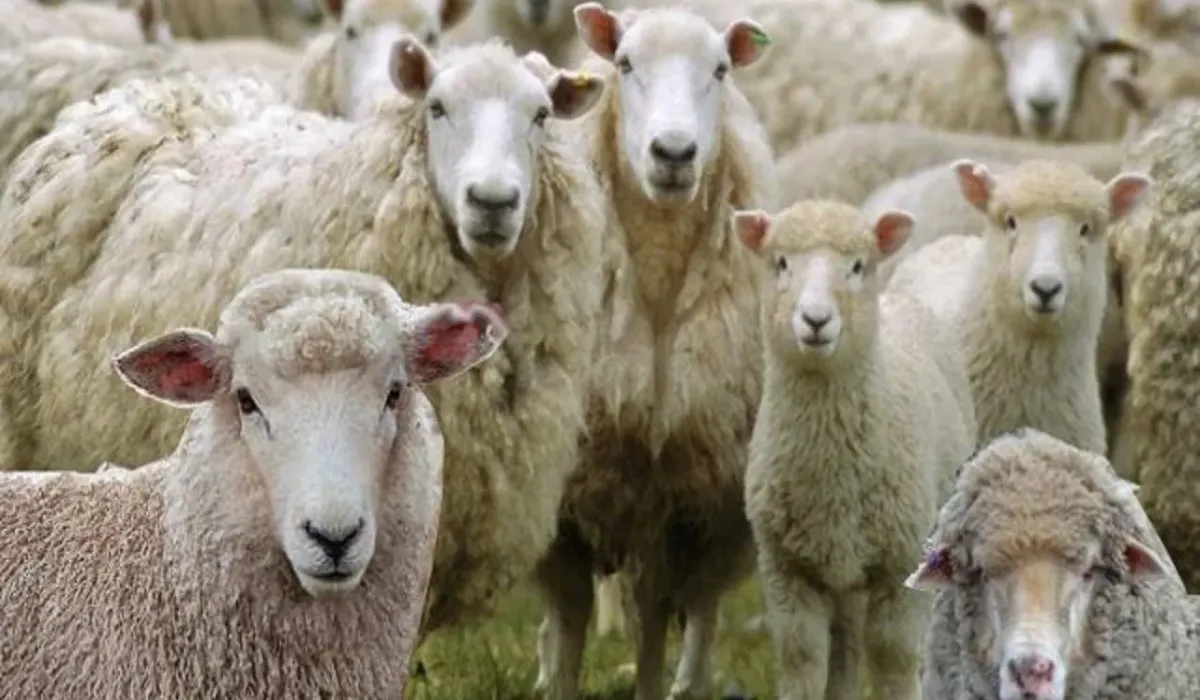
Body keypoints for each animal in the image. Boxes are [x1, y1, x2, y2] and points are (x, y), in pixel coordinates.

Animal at [532, 6, 774, 699]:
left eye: (719, 69)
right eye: (625, 63)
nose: (673, 153)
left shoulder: (683, 500)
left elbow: (656, 619)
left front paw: (652, 685)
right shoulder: (567, 499)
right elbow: (571, 617)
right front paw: (559, 681)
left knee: (703, 612)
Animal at [734, 201, 977, 700]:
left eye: (858, 266)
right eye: (780, 263)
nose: (815, 320)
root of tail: (895, 300)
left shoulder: (900, 564)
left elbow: (894, 660)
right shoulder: (787, 571)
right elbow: (802, 661)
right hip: (839, 567)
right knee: (844, 647)